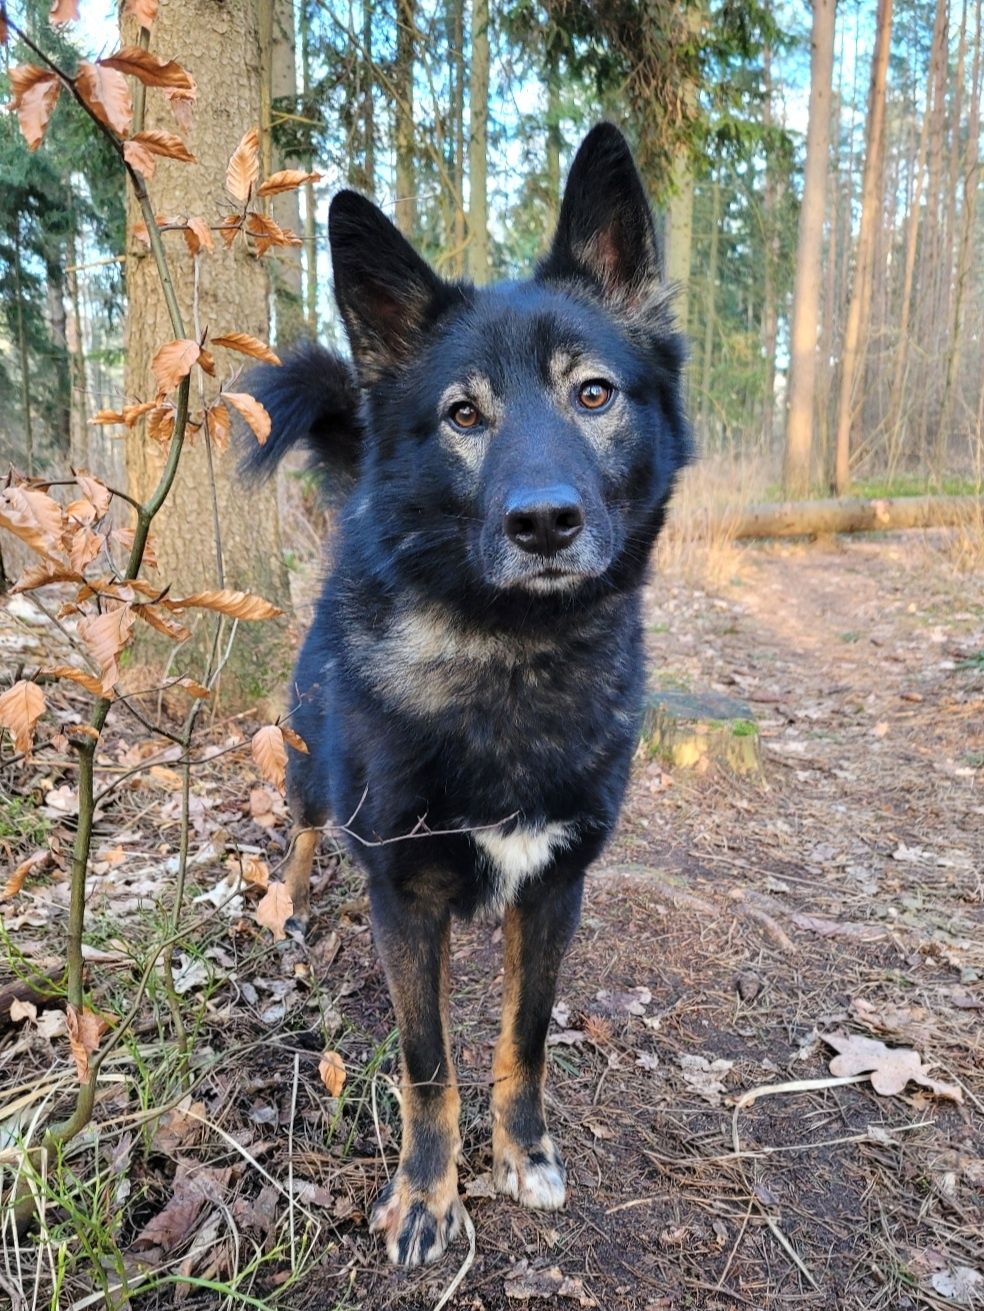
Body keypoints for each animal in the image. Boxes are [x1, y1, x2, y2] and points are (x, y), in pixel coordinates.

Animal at [246, 125, 691, 1269]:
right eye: (462, 416)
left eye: (594, 394)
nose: (545, 523)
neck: (513, 663)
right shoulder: (406, 898)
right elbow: (427, 1065)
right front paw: (426, 1195)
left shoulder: (555, 887)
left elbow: (522, 1041)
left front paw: (521, 1152)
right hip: (311, 761)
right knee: (302, 828)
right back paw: (285, 900)